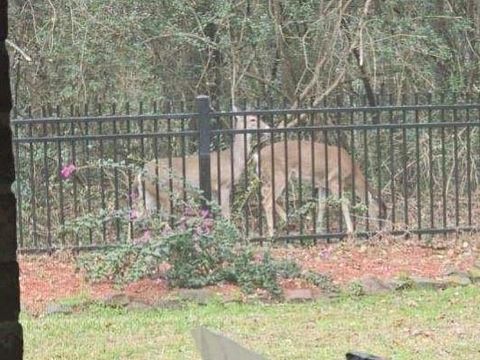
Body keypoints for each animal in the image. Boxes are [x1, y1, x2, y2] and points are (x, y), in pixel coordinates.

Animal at [134, 109, 270, 218]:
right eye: (253, 119)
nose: (268, 128)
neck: (234, 159)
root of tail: (141, 173)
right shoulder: (224, 184)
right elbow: (226, 214)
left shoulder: (214, 190)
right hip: (164, 192)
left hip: (148, 194)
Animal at [258, 140, 386, 236]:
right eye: (379, 213)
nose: (382, 230)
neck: (351, 173)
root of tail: (257, 156)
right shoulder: (334, 181)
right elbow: (344, 202)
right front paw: (350, 230)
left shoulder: (322, 184)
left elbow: (322, 204)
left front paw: (318, 230)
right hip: (279, 175)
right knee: (267, 201)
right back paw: (272, 234)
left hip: (269, 177)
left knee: (264, 192)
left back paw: (289, 220)